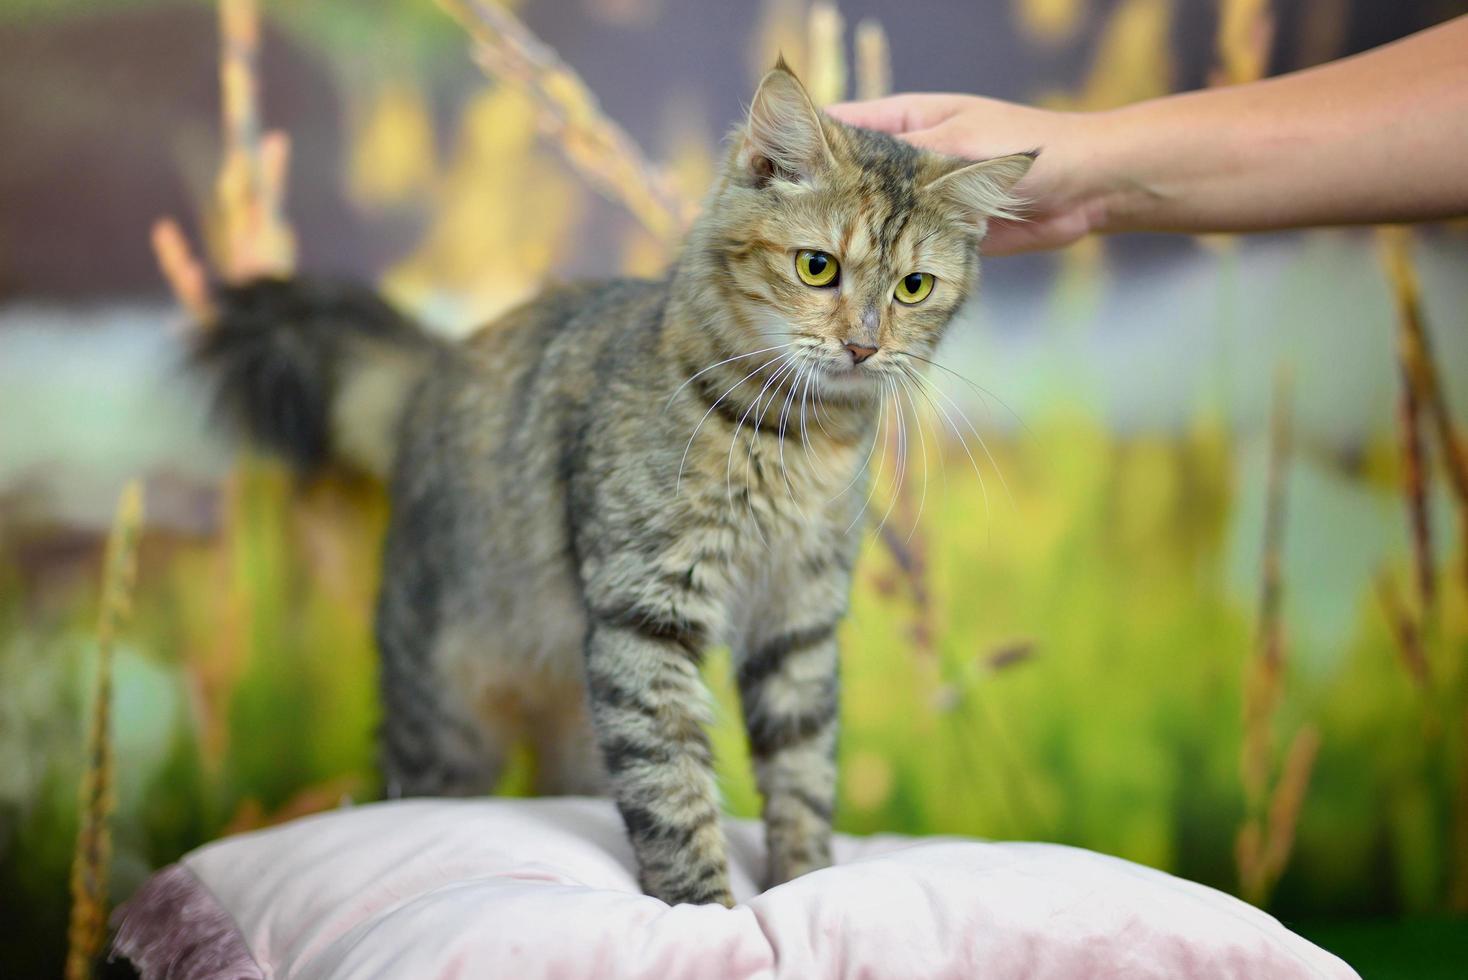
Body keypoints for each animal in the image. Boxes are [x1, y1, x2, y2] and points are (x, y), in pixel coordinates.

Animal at [195, 59, 1033, 903]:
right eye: (817, 267)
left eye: (913, 288)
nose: (863, 347)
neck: (794, 442)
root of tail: (439, 360)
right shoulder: (646, 612)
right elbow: (672, 789)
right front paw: (708, 907)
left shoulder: (797, 619)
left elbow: (801, 779)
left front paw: (804, 881)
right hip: (445, 714)